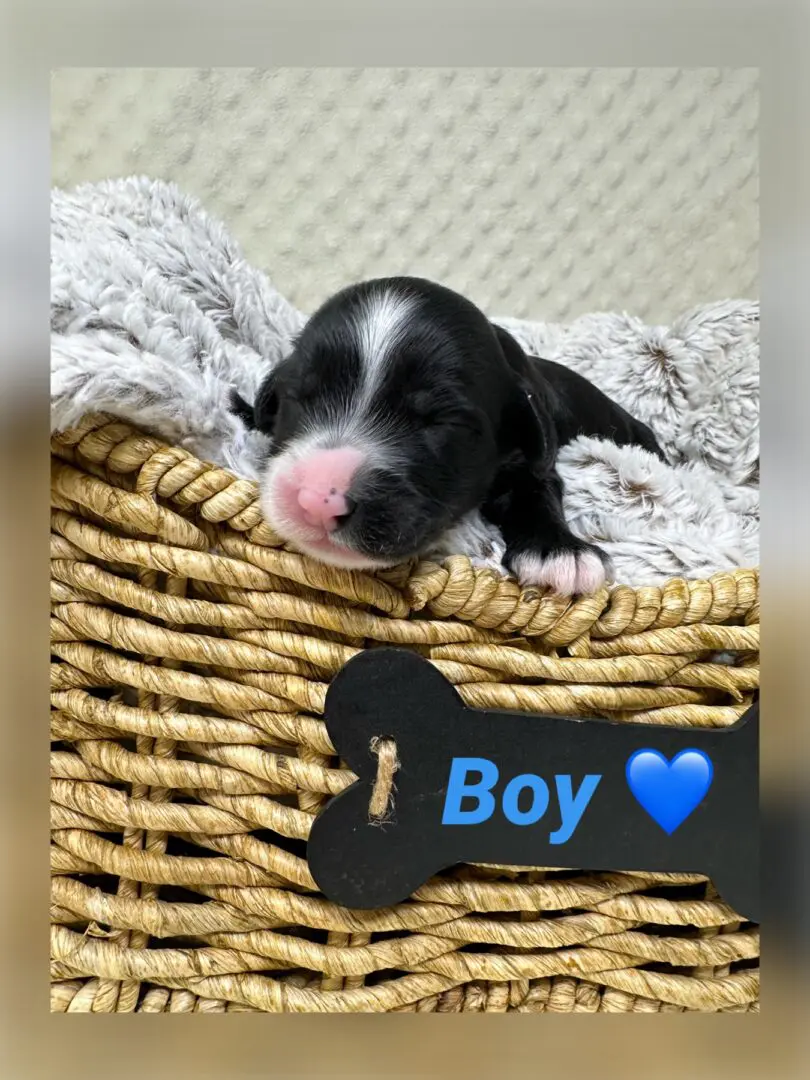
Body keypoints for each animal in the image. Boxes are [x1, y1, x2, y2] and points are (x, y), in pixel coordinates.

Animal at [230, 278, 665, 596]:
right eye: (298, 397)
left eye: (440, 422)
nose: (317, 500)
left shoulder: (533, 458)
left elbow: (538, 490)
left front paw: (560, 553)